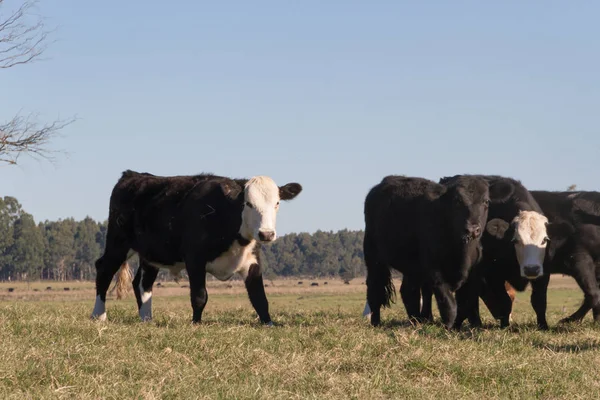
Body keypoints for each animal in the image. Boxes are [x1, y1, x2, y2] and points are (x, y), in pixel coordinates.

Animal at [91, 170, 302, 324]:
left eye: (277, 203)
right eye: (248, 203)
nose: (266, 234)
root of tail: (133, 174)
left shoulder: (252, 262)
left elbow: (260, 298)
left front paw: (269, 323)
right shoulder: (194, 259)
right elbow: (200, 296)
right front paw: (196, 323)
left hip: (150, 253)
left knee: (142, 283)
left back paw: (147, 319)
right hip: (118, 243)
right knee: (104, 270)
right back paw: (99, 316)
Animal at [360, 175, 492, 328]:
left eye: (485, 201)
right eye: (457, 201)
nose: (472, 229)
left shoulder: (472, 273)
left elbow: (468, 302)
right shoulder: (434, 270)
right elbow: (448, 303)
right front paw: (449, 326)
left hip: (411, 267)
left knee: (409, 292)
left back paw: (416, 321)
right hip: (373, 258)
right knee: (374, 288)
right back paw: (376, 322)